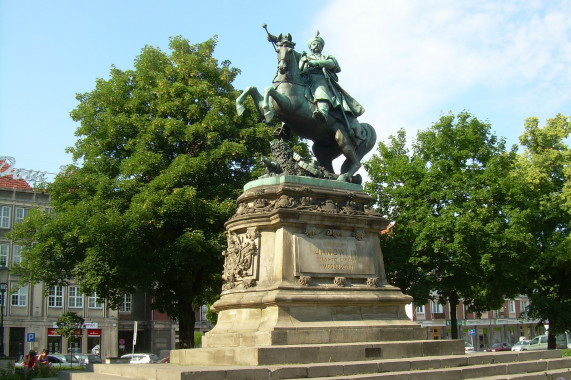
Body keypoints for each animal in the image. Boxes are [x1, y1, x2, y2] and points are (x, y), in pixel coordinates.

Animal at [236, 33, 376, 182]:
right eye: (277, 50)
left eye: (290, 51)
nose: (282, 68)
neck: (290, 82)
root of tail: (361, 127)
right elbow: (252, 88)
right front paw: (239, 106)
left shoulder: (288, 106)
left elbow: (268, 90)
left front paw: (268, 113)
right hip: (321, 149)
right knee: (328, 166)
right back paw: (328, 176)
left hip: (342, 137)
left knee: (356, 163)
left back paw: (343, 177)